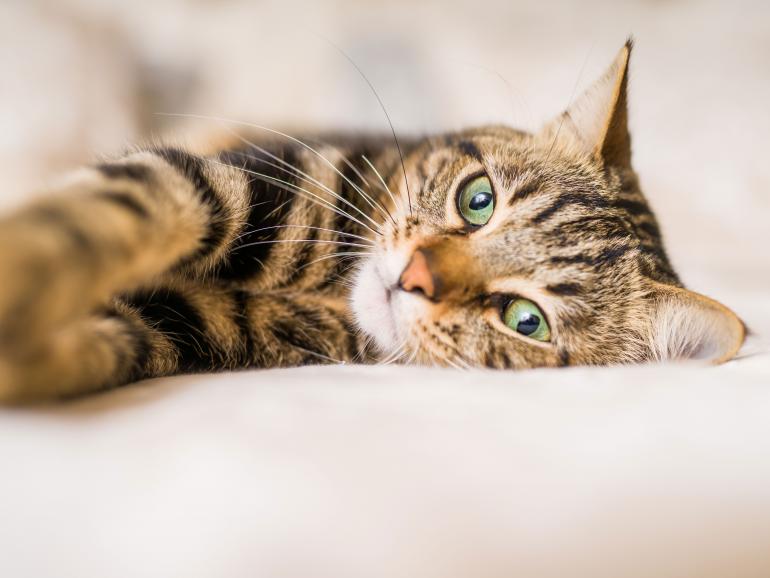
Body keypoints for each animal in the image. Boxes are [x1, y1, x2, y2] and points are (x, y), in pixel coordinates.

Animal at [0, 41, 744, 400]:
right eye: (478, 200)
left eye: (524, 320)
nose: (414, 276)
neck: (328, 286)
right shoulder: (235, 184)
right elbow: (113, 209)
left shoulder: (189, 324)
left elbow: (106, 337)